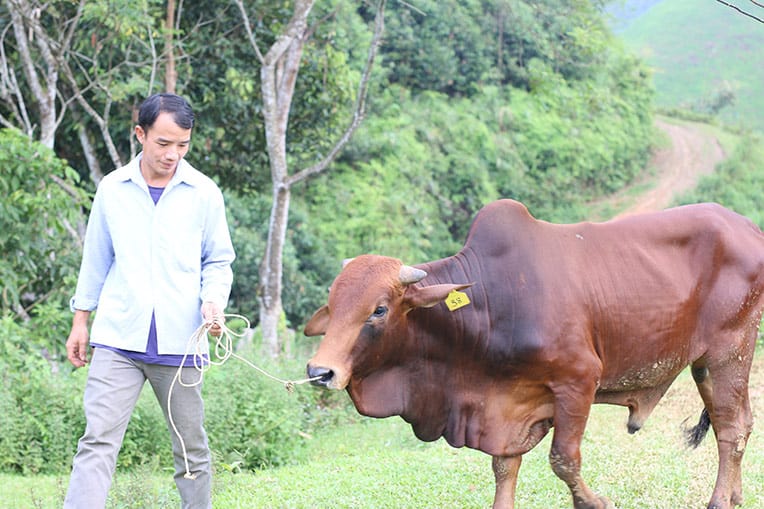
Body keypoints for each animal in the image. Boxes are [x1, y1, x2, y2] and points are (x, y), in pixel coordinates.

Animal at [304, 199, 764, 508]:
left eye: (379, 309)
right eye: (332, 302)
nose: (320, 371)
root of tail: (747, 227)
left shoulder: (578, 380)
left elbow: (564, 460)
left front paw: (594, 502)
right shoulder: (507, 402)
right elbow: (504, 467)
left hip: (728, 351)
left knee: (732, 427)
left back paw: (719, 500)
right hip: (709, 363)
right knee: (737, 424)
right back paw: (735, 495)